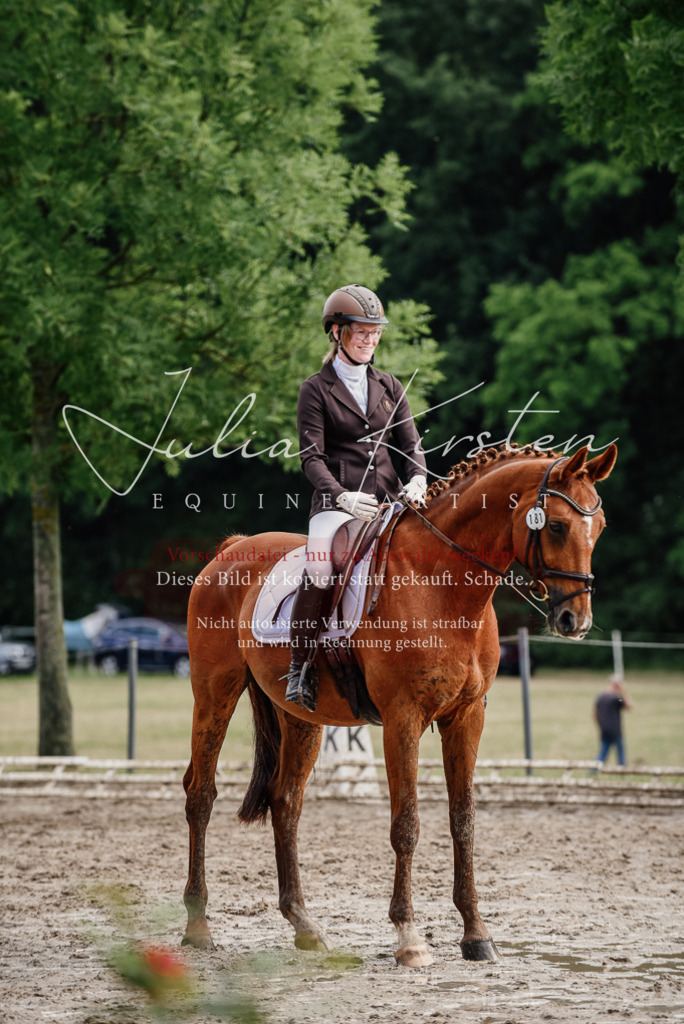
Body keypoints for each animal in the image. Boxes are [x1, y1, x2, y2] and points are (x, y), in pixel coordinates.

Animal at [182, 442, 617, 967]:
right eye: (555, 526)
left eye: (600, 527)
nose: (576, 620)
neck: (443, 584)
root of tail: (231, 549)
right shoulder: (402, 718)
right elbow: (406, 824)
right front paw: (409, 938)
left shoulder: (467, 717)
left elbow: (463, 820)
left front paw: (476, 934)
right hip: (214, 694)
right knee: (200, 795)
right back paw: (197, 925)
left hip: (301, 718)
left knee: (286, 802)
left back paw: (305, 926)